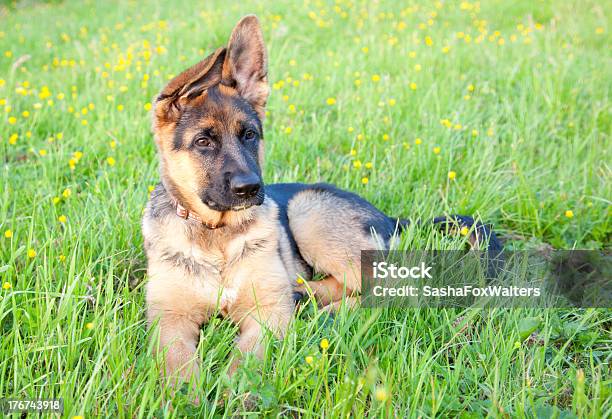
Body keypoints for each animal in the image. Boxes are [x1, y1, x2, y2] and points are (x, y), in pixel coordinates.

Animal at [143, 17, 502, 388]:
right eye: (203, 142)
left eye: (249, 135)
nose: (251, 188)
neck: (217, 236)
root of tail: (390, 218)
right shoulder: (170, 318)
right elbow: (177, 363)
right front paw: (188, 393)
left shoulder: (267, 311)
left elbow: (248, 359)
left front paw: (236, 390)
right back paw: (307, 296)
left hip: (308, 211)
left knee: (398, 291)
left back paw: (328, 312)